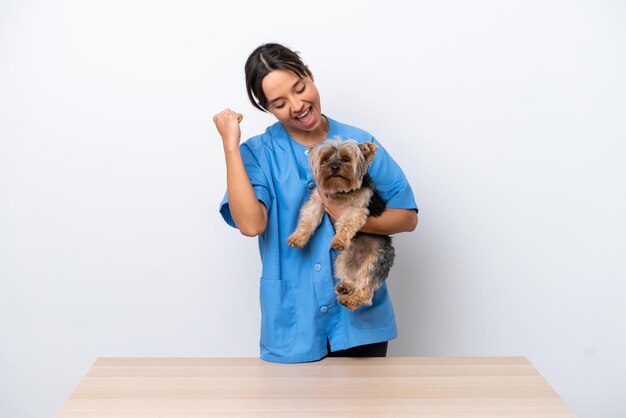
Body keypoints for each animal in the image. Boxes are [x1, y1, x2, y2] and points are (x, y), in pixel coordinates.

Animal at [286, 140, 392, 310]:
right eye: (326, 158)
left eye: (346, 158)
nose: (335, 167)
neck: (340, 191)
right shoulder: (318, 200)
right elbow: (308, 218)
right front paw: (298, 238)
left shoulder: (356, 209)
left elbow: (347, 223)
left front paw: (339, 240)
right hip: (344, 259)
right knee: (353, 277)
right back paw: (346, 287)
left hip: (376, 259)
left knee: (365, 291)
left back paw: (350, 300)